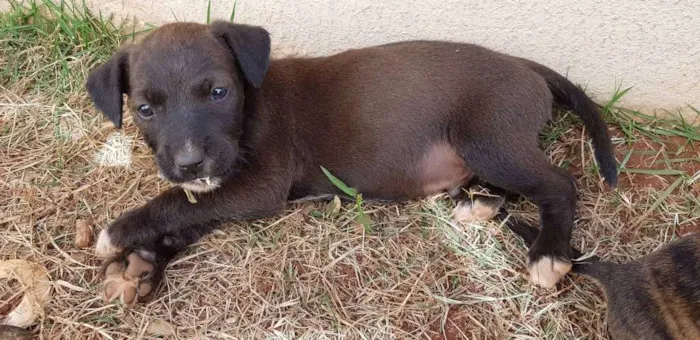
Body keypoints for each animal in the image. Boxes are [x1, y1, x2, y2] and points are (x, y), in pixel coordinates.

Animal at [85, 21, 616, 304]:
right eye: (145, 110)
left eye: (218, 92)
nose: (190, 162)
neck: (250, 103)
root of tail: (527, 66)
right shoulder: (225, 187)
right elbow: (193, 210)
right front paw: (144, 260)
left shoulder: (259, 186)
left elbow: (177, 201)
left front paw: (119, 231)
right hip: (490, 149)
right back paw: (479, 204)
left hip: (488, 139)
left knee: (558, 183)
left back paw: (549, 253)